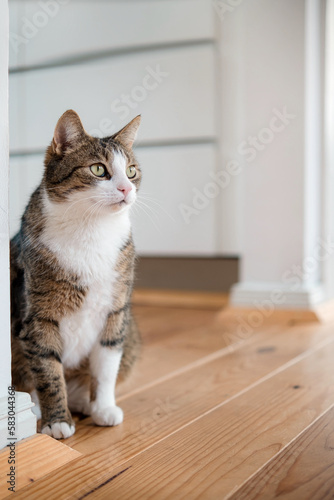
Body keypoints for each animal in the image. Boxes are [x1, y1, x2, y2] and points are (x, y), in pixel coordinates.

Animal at [10, 109, 141, 438]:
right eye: (98, 169)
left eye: (131, 171)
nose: (126, 189)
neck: (91, 229)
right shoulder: (38, 317)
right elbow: (47, 371)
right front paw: (57, 420)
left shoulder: (115, 311)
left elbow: (106, 367)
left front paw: (103, 407)